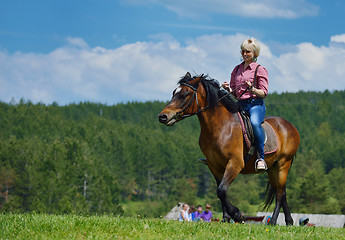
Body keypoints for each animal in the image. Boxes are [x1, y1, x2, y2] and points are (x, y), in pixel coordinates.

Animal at [157, 72, 298, 225]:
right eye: (174, 93)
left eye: (185, 94)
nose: (162, 116)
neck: (220, 127)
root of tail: (290, 126)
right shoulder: (214, 165)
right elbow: (220, 191)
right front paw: (226, 218)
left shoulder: (235, 163)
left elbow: (221, 190)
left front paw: (237, 215)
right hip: (272, 168)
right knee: (281, 191)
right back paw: (289, 221)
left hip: (283, 163)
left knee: (280, 193)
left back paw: (273, 221)